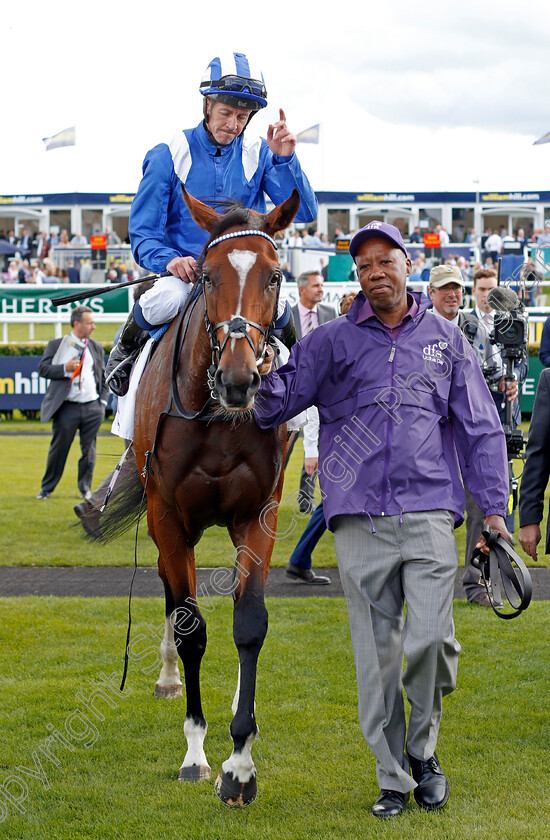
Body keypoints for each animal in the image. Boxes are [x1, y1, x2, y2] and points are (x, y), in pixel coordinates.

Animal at [131, 187, 300, 804]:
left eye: (275, 276)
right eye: (205, 276)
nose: (238, 379)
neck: (219, 419)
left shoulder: (258, 513)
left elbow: (248, 622)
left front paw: (240, 763)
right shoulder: (168, 515)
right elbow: (190, 628)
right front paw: (196, 753)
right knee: (168, 591)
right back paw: (167, 677)